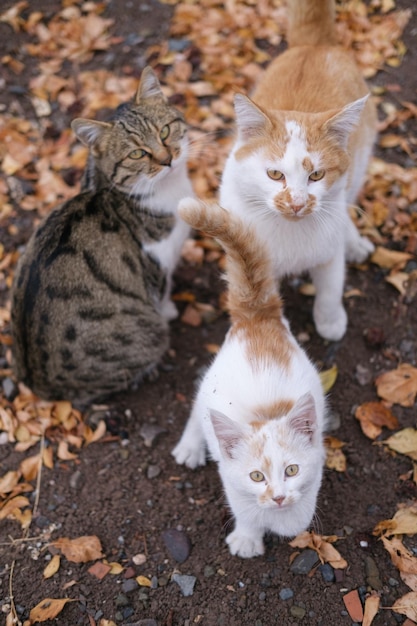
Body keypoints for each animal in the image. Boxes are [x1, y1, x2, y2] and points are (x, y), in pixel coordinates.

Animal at [11, 67, 193, 404]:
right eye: (137, 153)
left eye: (164, 132)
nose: (167, 159)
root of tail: (36, 385)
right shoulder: (157, 268)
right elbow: (162, 294)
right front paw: (170, 310)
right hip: (145, 337)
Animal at [172, 196, 324, 556]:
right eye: (257, 477)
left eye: (292, 470)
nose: (279, 497)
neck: (266, 415)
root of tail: (256, 315)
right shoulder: (232, 479)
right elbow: (244, 508)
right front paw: (248, 537)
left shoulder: (318, 457)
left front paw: (294, 519)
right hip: (211, 382)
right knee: (198, 408)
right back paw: (190, 446)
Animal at [219, 0, 376, 342]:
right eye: (275, 174)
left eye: (316, 175)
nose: (296, 203)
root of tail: (314, 45)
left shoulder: (329, 254)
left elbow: (330, 289)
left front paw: (330, 321)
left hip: (360, 162)